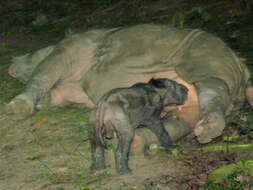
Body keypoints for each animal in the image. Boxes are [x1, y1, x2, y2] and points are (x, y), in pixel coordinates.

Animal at [5, 24, 253, 144]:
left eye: (32, 53)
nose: (11, 64)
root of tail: (244, 69)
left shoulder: (66, 51)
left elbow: (42, 74)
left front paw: (16, 108)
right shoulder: (69, 93)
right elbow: (49, 91)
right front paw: (39, 104)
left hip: (207, 59)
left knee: (213, 84)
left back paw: (209, 127)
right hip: (191, 100)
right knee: (180, 120)